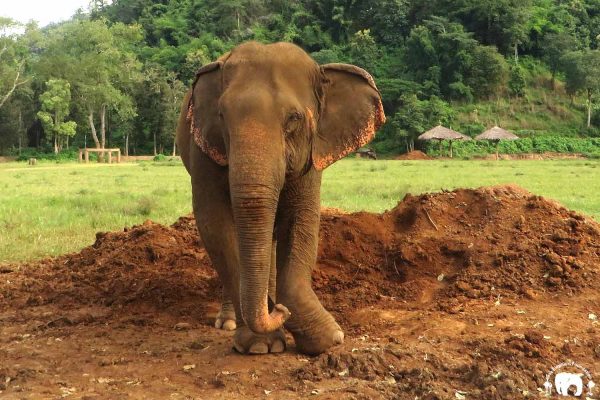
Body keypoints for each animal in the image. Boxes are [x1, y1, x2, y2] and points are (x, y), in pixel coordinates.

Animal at [177, 41, 384, 356]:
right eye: (222, 115)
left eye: (294, 118)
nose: (279, 310)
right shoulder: (202, 150)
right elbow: (215, 224)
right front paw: (261, 345)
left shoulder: (312, 153)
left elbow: (302, 220)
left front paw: (326, 339)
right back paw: (229, 322)